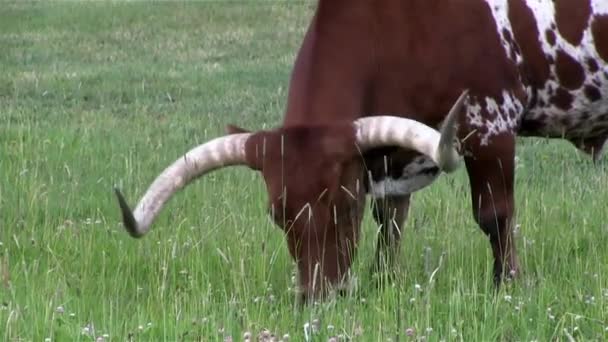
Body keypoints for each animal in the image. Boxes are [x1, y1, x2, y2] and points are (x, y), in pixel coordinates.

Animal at [114, 0, 608, 300]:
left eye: (344, 204)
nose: (318, 298)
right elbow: (391, 222)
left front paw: (508, 287)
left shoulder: (491, 123)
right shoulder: (390, 158)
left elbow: (495, 215)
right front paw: (384, 282)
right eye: (277, 214)